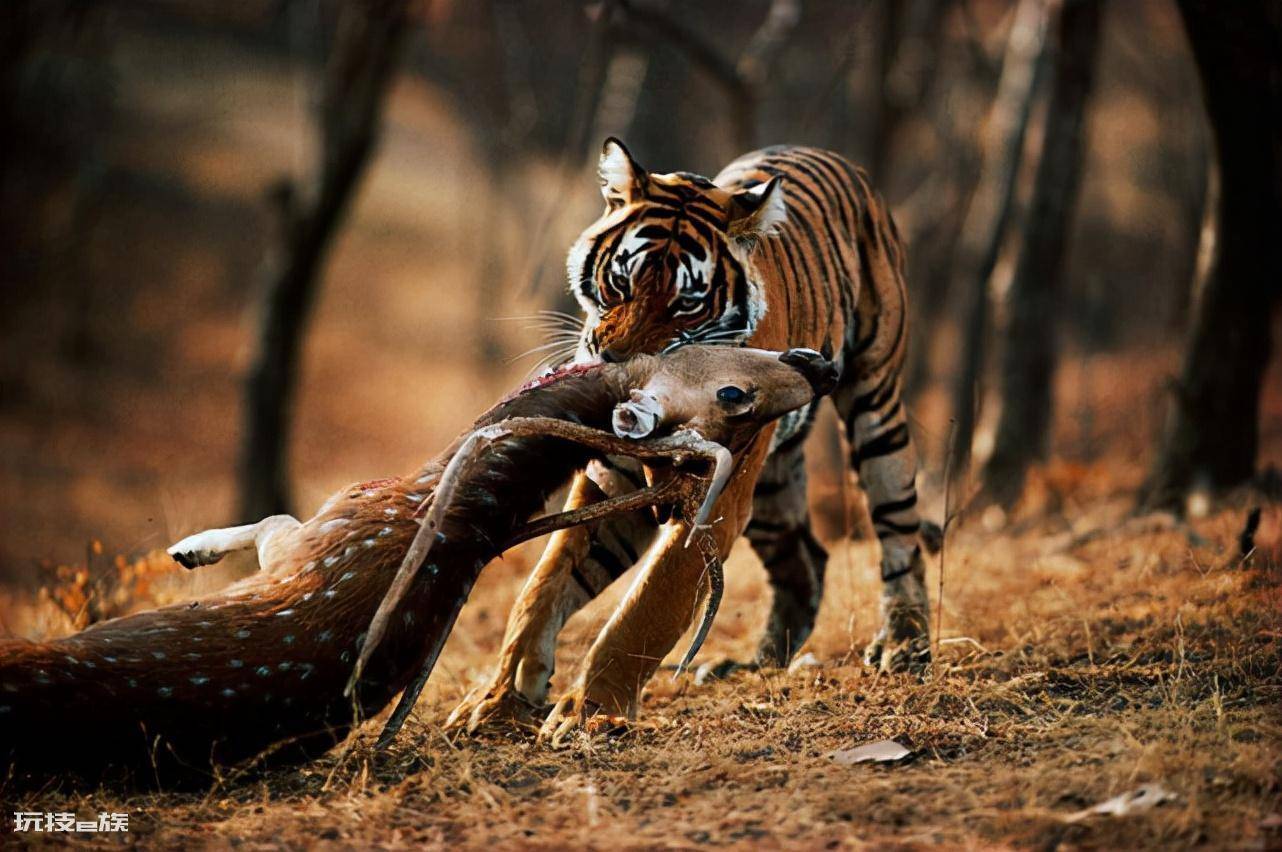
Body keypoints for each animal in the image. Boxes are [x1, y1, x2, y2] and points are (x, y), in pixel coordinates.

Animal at [446, 139, 932, 739]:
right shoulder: (612, 481)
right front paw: (501, 699)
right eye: (619, 283)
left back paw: (904, 644)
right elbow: (544, 584)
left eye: (685, 304)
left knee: (899, 531)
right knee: (805, 558)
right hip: (770, 488)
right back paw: (757, 661)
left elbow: (648, 607)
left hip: (874, 406)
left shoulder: (712, 500)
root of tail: (834, 157)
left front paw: (588, 713)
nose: (617, 362)